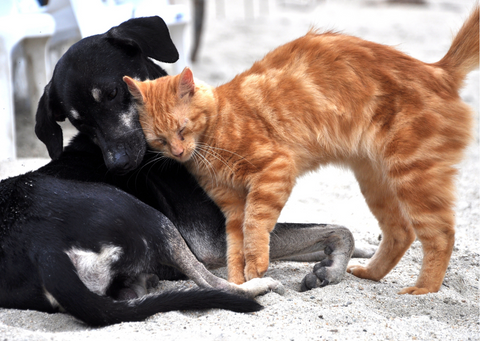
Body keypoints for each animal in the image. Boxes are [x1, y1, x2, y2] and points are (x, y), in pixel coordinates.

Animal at [0, 16, 370, 326]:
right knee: (215, 283)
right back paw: (260, 286)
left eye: (113, 93)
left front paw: (353, 256)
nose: (118, 164)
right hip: (148, 215)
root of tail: (42, 249)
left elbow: (332, 231)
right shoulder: (213, 239)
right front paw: (333, 268)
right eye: (78, 123)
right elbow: (339, 229)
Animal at [125, 7, 478, 294]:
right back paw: (370, 273)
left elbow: (255, 229)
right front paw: (242, 282)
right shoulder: (231, 206)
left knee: (441, 235)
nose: (178, 152)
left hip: (413, 176)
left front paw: (256, 268)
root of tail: (438, 70)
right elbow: (234, 248)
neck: (215, 131)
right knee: (401, 232)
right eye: (159, 139)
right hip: (376, 181)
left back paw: (423, 290)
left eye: (182, 129)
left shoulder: (274, 172)